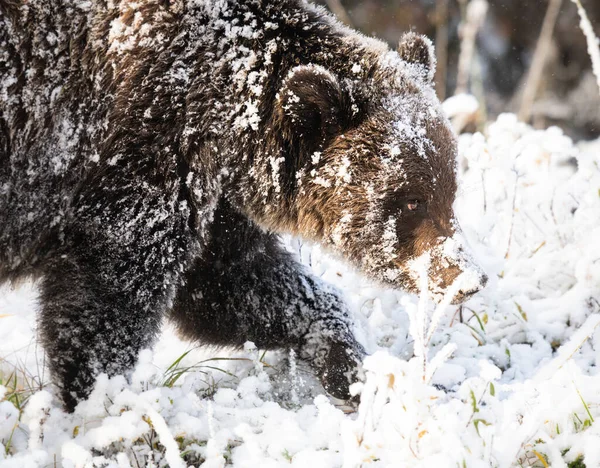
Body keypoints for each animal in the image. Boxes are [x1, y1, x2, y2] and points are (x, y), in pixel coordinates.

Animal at [0, 0, 488, 410]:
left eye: (451, 189)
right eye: (410, 201)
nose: (468, 277)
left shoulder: (212, 198)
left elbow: (235, 284)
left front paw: (358, 372)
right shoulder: (141, 155)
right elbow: (107, 291)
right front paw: (100, 403)